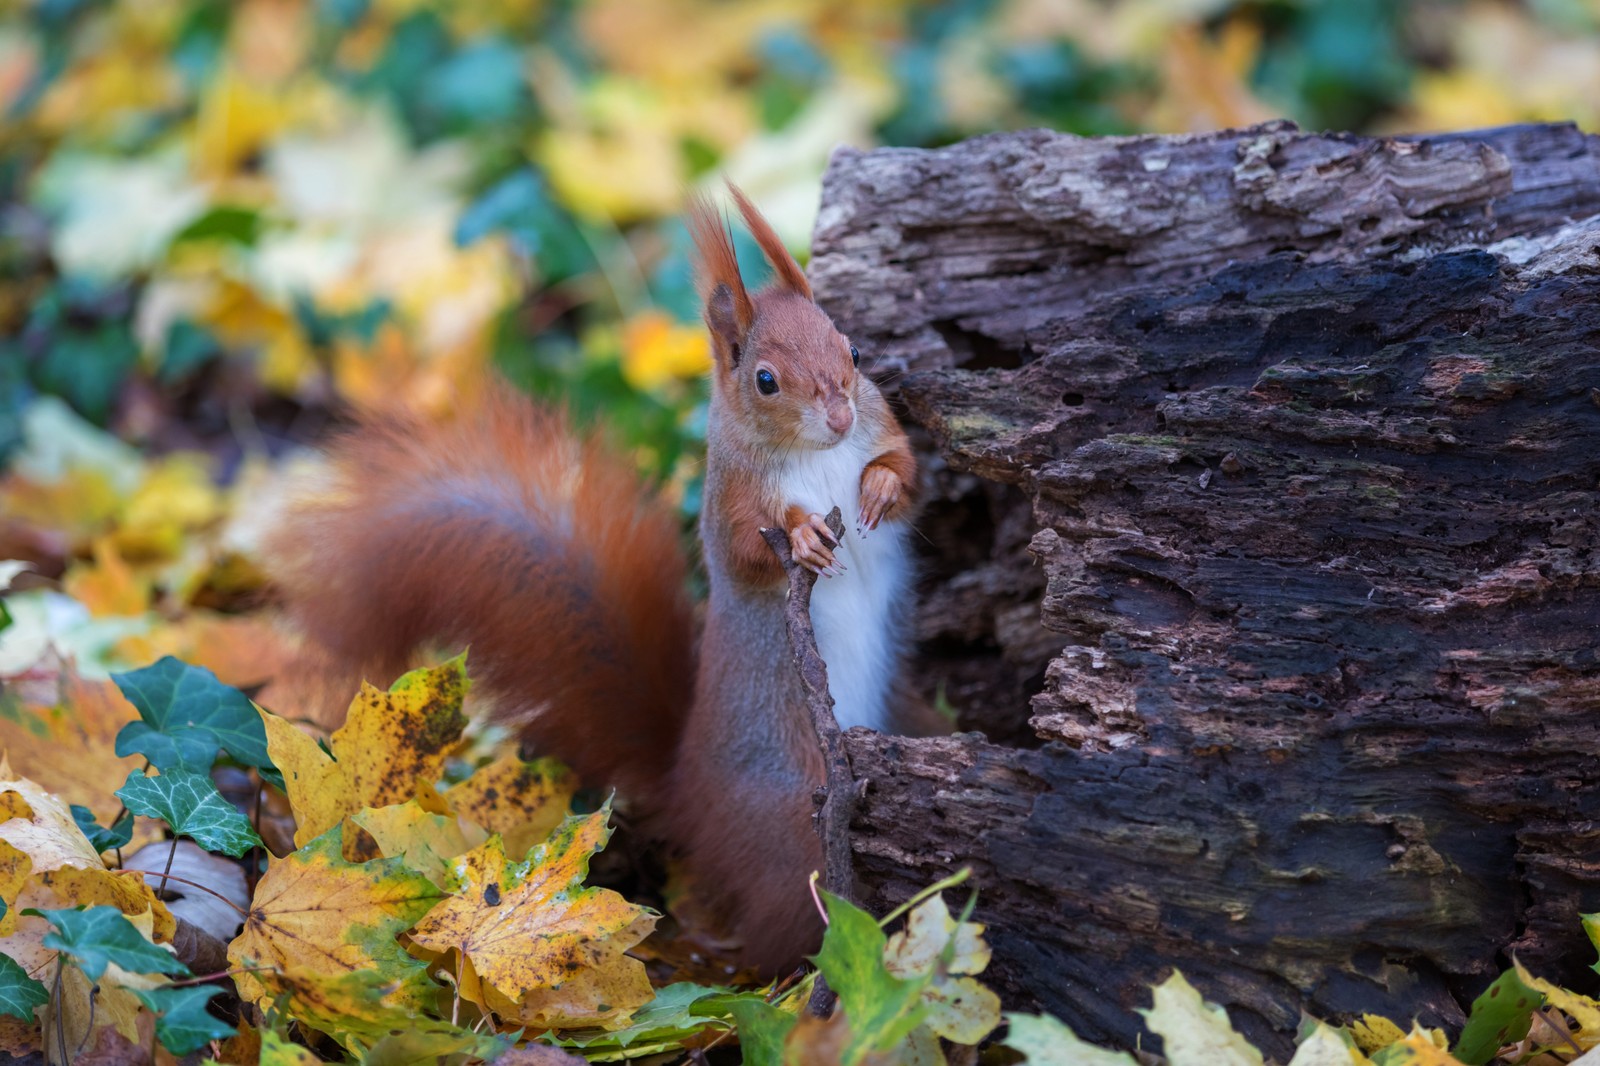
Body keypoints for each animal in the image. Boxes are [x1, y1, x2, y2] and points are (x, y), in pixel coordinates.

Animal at [268, 184, 928, 973]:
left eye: (852, 349)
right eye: (766, 380)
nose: (837, 414)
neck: (817, 454)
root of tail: (688, 789)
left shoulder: (876, 429)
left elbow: (908, 472)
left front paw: (879, 490)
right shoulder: (731, 502)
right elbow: (745, 551)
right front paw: (802, 536)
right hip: (795, 815)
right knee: (791, 916)